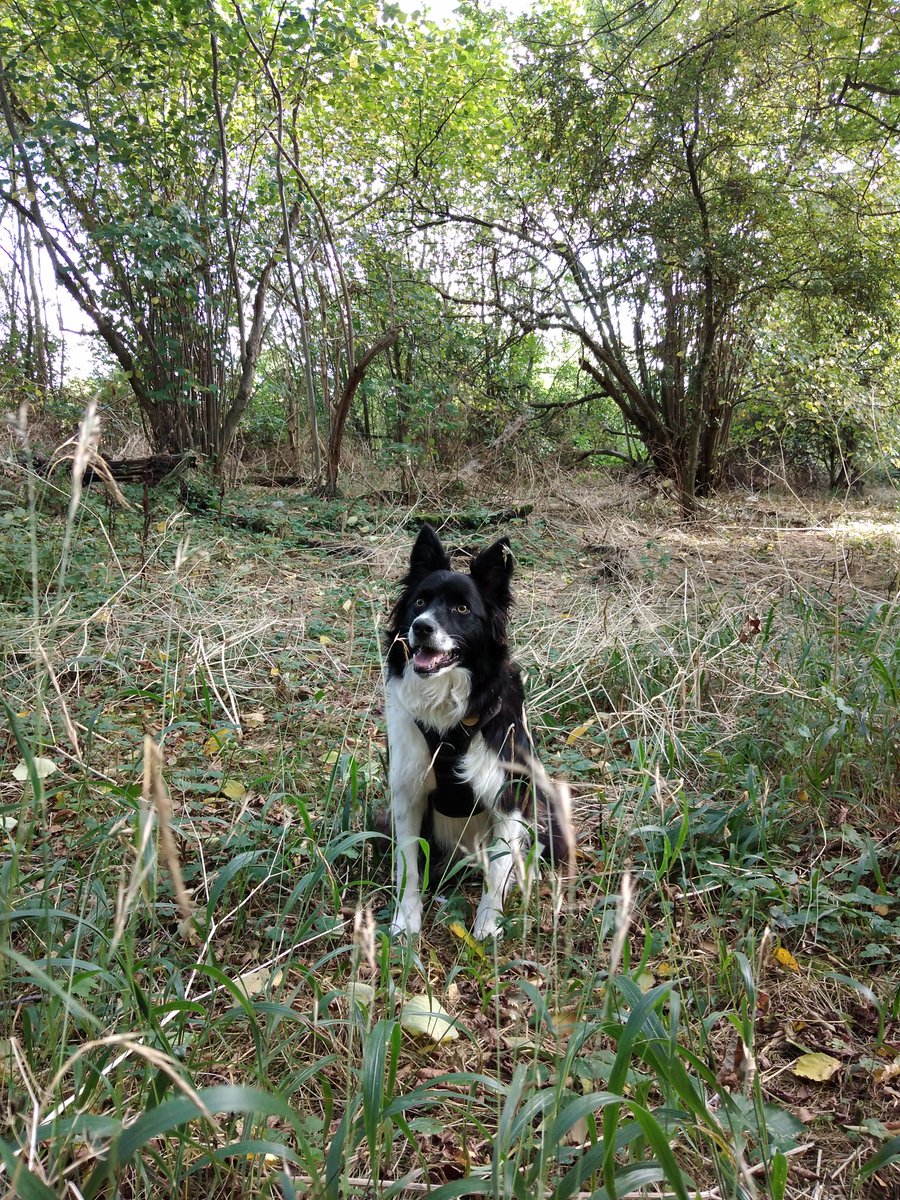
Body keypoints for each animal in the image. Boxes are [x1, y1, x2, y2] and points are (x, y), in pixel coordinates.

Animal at [384, 523, 566, 936]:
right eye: (419, 602)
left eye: (462, 609)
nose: (421, 627)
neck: (449, 714)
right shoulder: (406, 794)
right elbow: (407, 865)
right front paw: (406, 921)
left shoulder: (508, 795)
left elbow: (498, 869)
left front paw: (487, 927)